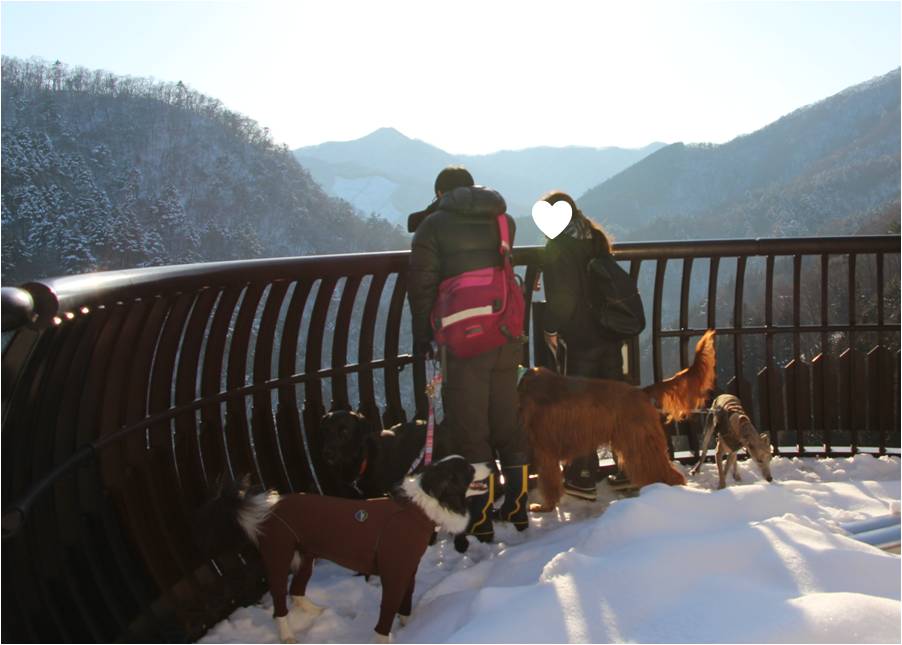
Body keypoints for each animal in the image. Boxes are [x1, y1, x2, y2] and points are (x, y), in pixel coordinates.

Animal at [195, 456, 490, 640]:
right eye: (467, 469)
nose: (489, 463)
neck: (417, 509)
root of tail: (269, 508)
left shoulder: (409, 569)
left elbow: (404, 606)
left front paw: (412, 628)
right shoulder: (394, 573)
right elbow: (386, 615)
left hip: (306, 556)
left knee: (297, 591)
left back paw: (318, 612)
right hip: (278, 557)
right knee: (280, 603)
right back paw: (288, 635)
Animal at [520, 330, 716, 510]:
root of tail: (641, 392)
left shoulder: (544, 449)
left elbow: (548, 484)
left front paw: (545, 507)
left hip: (639, 443)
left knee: (668, 474)